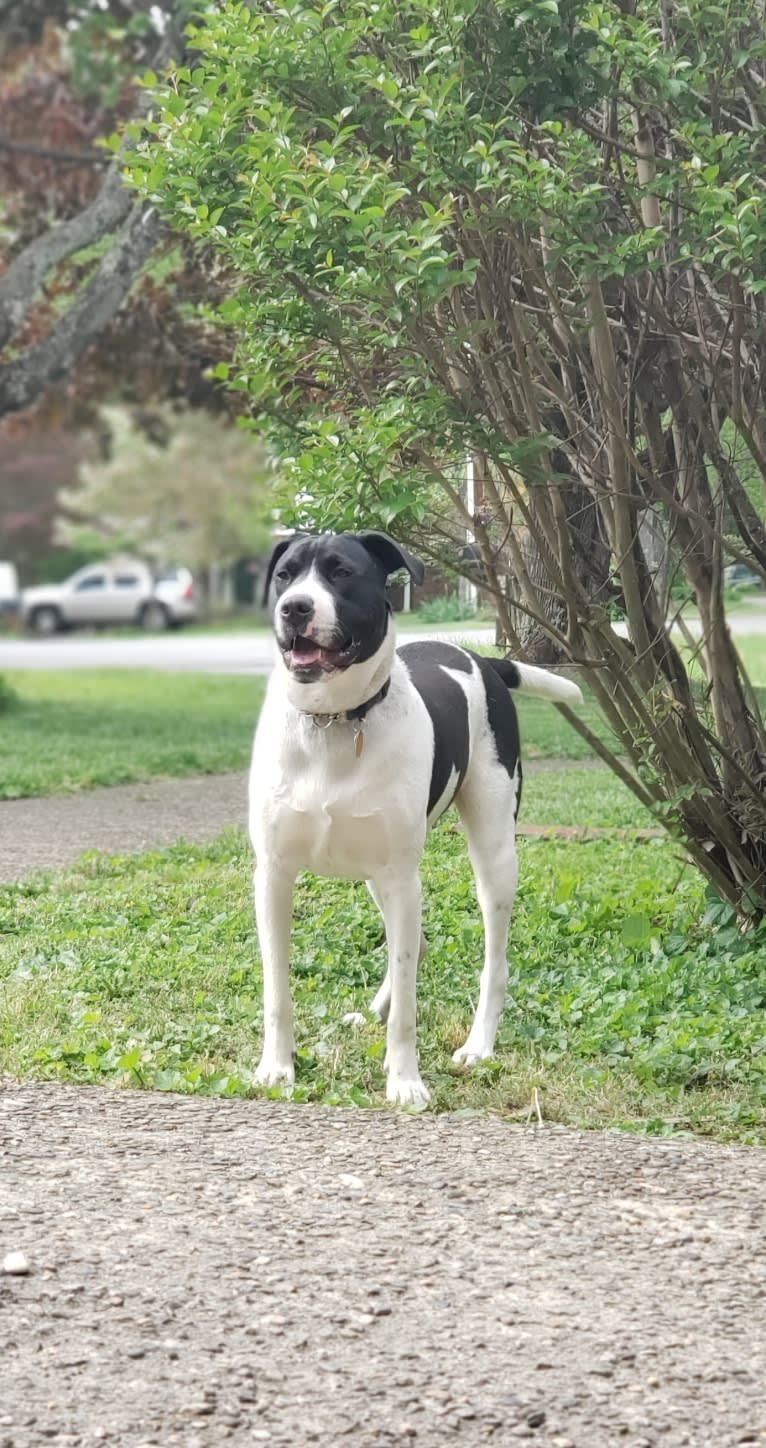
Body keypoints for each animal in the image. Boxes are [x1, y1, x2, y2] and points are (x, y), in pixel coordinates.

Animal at [250, 532, 579, 1106]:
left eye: (342, 572)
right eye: (285, 575)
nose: (295, 608)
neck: (333, 722)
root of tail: (484, 661)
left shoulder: (404, 880)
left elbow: (407, 1005)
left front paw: (404, 1079)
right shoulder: (272, 876)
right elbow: (278, 989)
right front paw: (277, 1067)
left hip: (494, 854)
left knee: (493, 960)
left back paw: (479, 1046)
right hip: (378, 879)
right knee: (416, 945)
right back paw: (371, 1011)